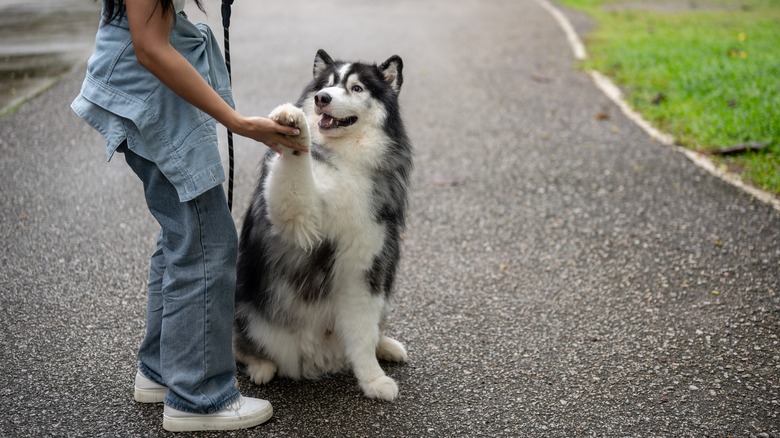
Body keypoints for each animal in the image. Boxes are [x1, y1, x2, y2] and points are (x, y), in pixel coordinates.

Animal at [233, 50, 412, 400]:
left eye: (356, 88)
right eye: (327, 84)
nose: (322, 99)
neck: (347, 160)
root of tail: (319, 359)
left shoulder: (363, 266)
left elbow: (362, 334)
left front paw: (372, 379)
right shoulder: (301, 217)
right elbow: (295, 168)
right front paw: (293, 121)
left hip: (383, 290)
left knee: (372, 330)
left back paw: (386, 346)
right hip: (243, 307)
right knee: (240, 347)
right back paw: (261, 366)